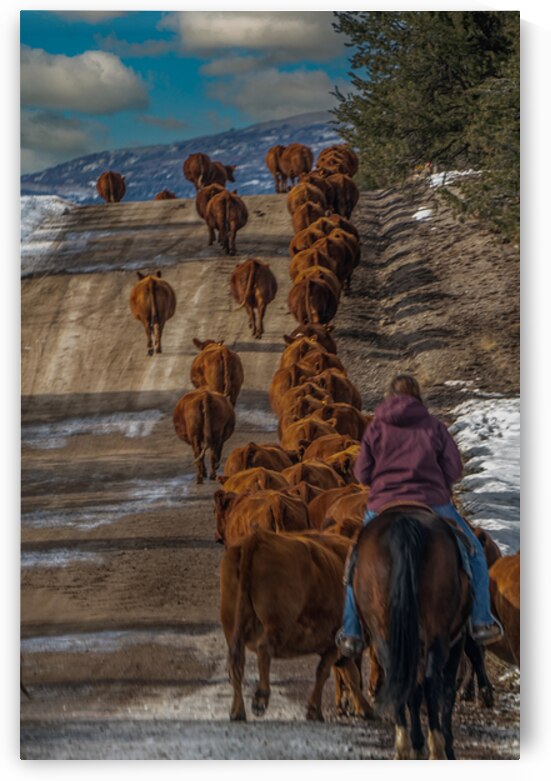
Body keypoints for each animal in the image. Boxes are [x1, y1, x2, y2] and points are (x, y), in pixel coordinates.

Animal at [220, 528, 375, 721]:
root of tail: (258, 538)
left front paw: (365, 708)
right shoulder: (334, 643)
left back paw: (237, 710)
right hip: (280, 624)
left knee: (236, 663)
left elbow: (350, 674)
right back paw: (261, 698)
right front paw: (314, 710)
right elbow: (325, 672)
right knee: (264, 648)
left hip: (232, 628)